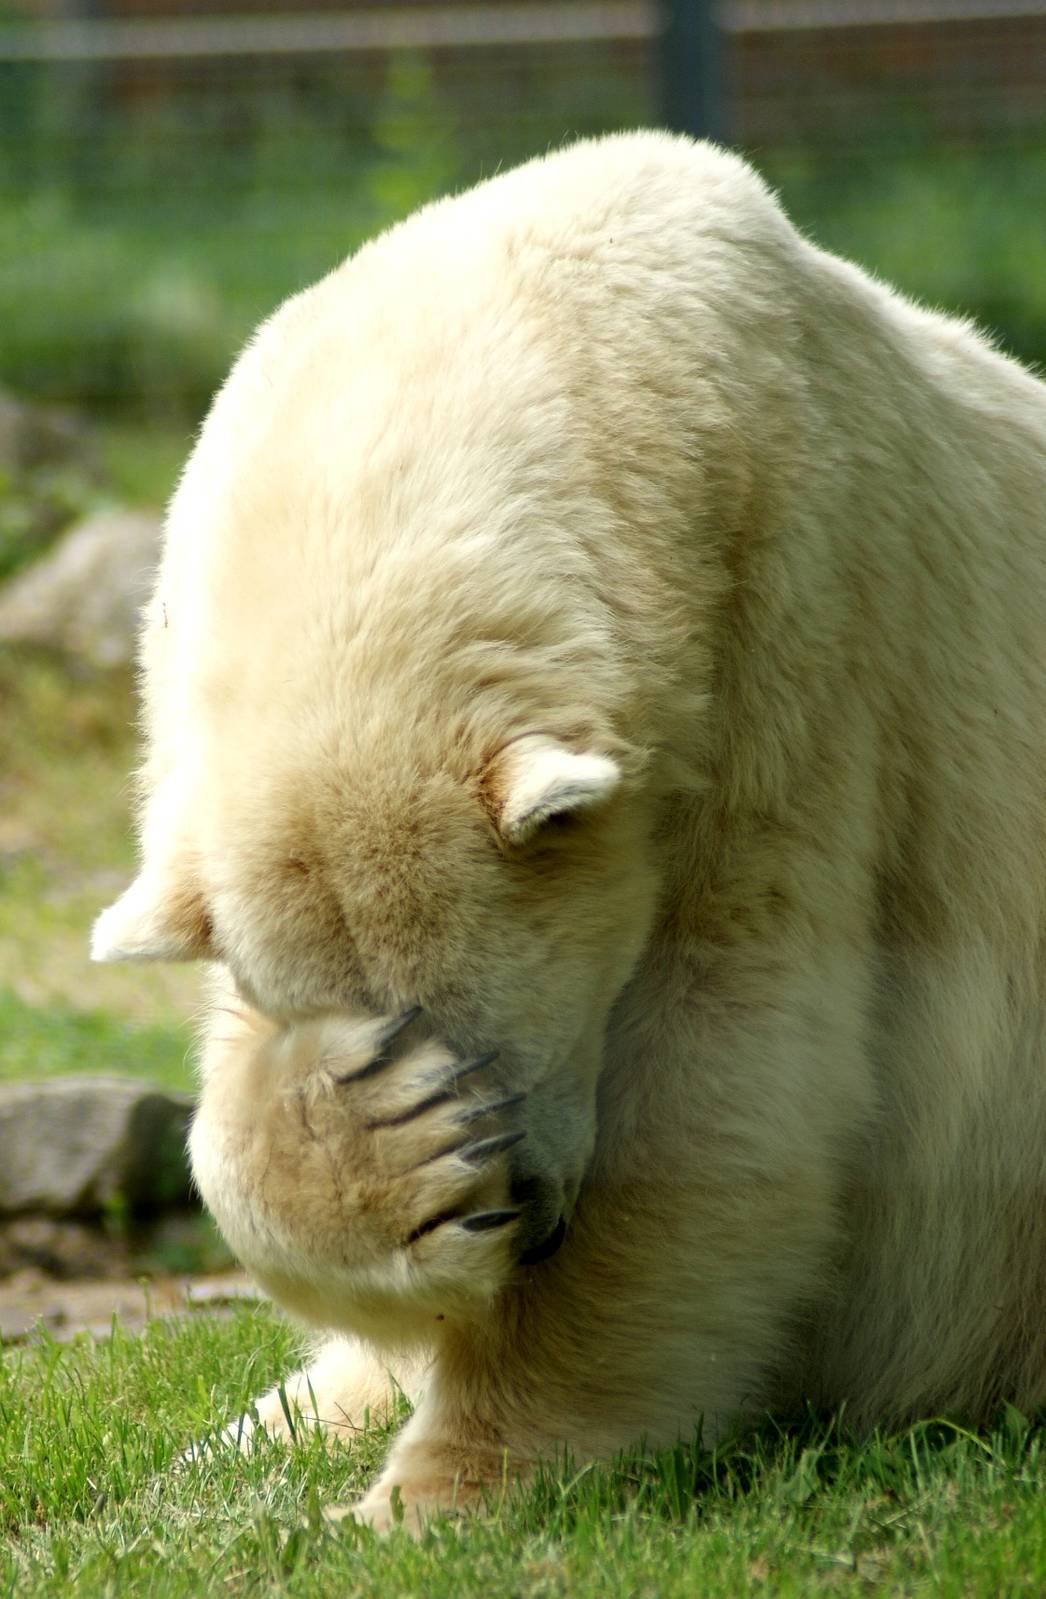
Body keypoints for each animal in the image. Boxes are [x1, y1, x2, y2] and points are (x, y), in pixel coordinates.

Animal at [92, 131, 1046, 1531]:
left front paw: (443, 1490)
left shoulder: (797, 638)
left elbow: (727, 1055)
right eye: (412, 1043)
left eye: (506, 1026)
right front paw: (375, 1146)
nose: (522, 1227)